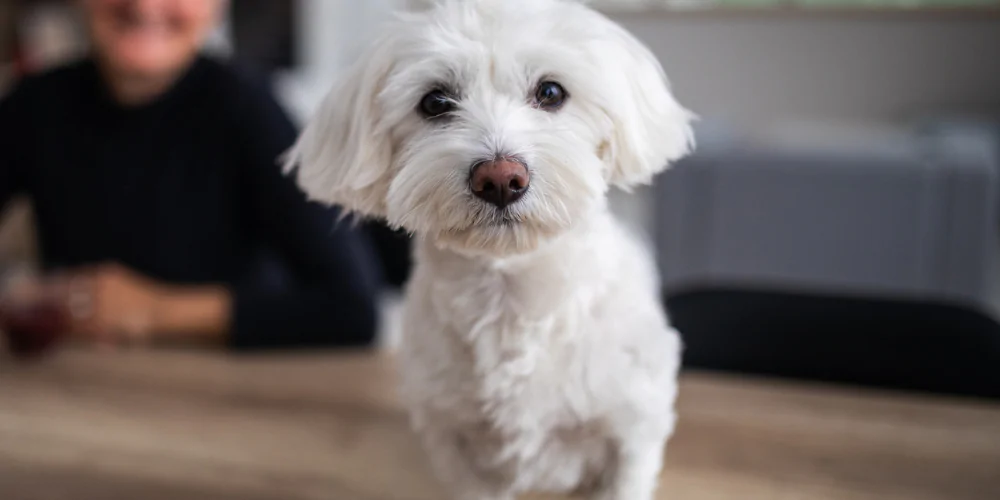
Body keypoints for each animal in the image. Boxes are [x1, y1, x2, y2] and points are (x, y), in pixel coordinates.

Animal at [286, 0, 696, 500]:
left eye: (551, 92)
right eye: (435, 102)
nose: (500, 178)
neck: (510, 296)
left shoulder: (632, 431)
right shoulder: (454, 441)